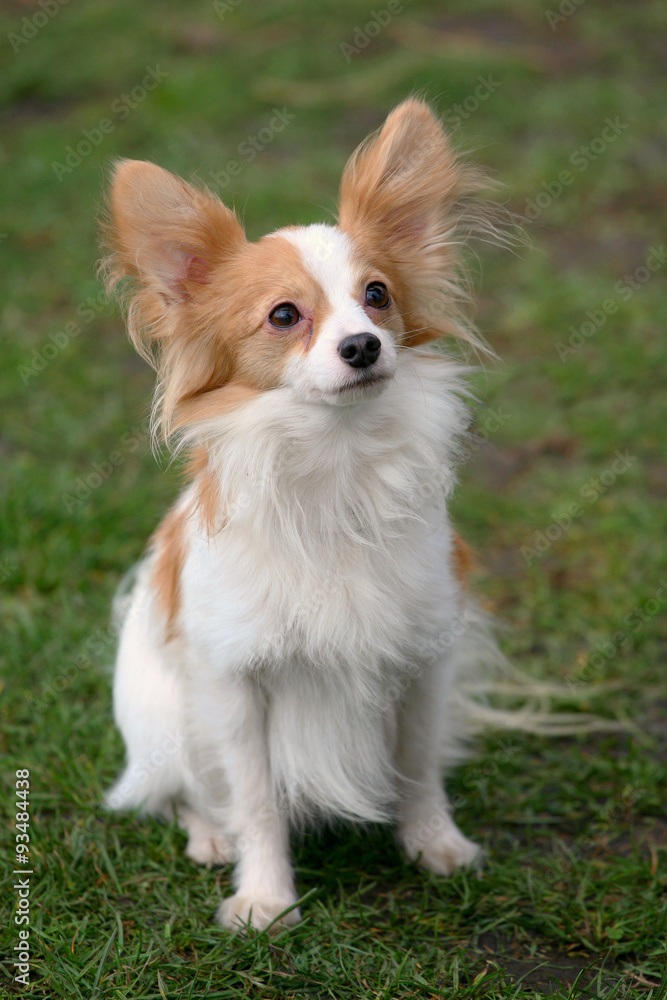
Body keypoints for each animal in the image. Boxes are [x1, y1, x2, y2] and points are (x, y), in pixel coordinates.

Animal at [99, 99, 506, 928]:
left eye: (378, 296)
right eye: (284, 316)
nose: (362, 346)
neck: (334, 466)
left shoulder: (424, 658)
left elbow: (418, 766)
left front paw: (434, 845)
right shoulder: (234, 683)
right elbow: (254, 798)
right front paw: (264, 898)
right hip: (162, 725)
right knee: (179, 791)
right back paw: (208, 836)